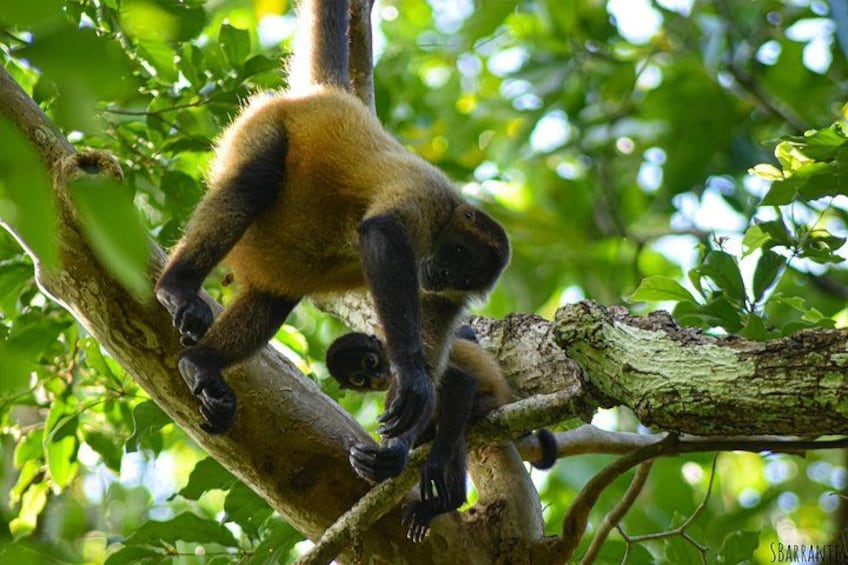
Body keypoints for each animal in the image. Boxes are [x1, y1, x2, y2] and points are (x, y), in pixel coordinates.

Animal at [154, 0, 510, 494]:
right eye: (459, 254)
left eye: (464, 273)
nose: (440, 274)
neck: (452, 213)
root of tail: (327, 94)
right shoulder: (429, 197)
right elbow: (382, 232)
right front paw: (413, 381)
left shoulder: (448, 296)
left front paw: (396, 451)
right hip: (266, 125)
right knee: (251, 182)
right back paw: (177, 287)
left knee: (275, 297)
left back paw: (199, 364)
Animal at [327, 327, 558, 542]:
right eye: (359, 378)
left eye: (370, 361)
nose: (375, 378)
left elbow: (461, 381)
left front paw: (423, 464)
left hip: (485, 404)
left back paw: (448, 502)